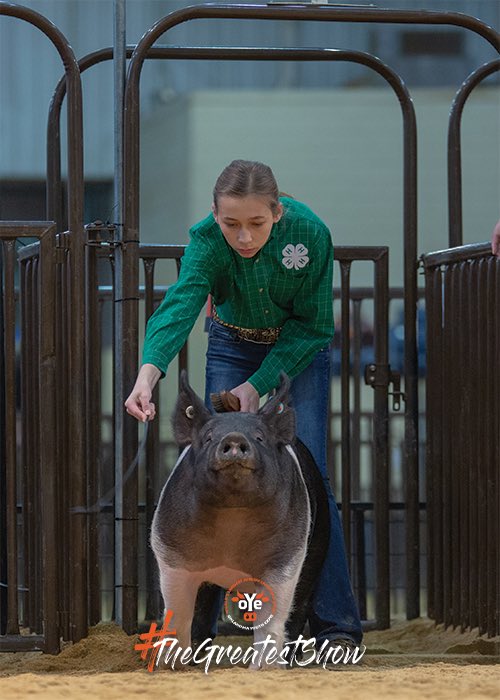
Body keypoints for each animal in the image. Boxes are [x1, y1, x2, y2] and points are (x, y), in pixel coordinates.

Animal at [149, 372, 328, 668]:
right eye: (208, 438)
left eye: (259, 437)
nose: (233, 438)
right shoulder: (171, 552)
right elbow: (179, 612)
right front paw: (170, 665)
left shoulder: (286, 556)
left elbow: (272, 616)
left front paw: (264, 668)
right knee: (203, 609)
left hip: (318, 548)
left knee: (299, 608)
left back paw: (289, 661)